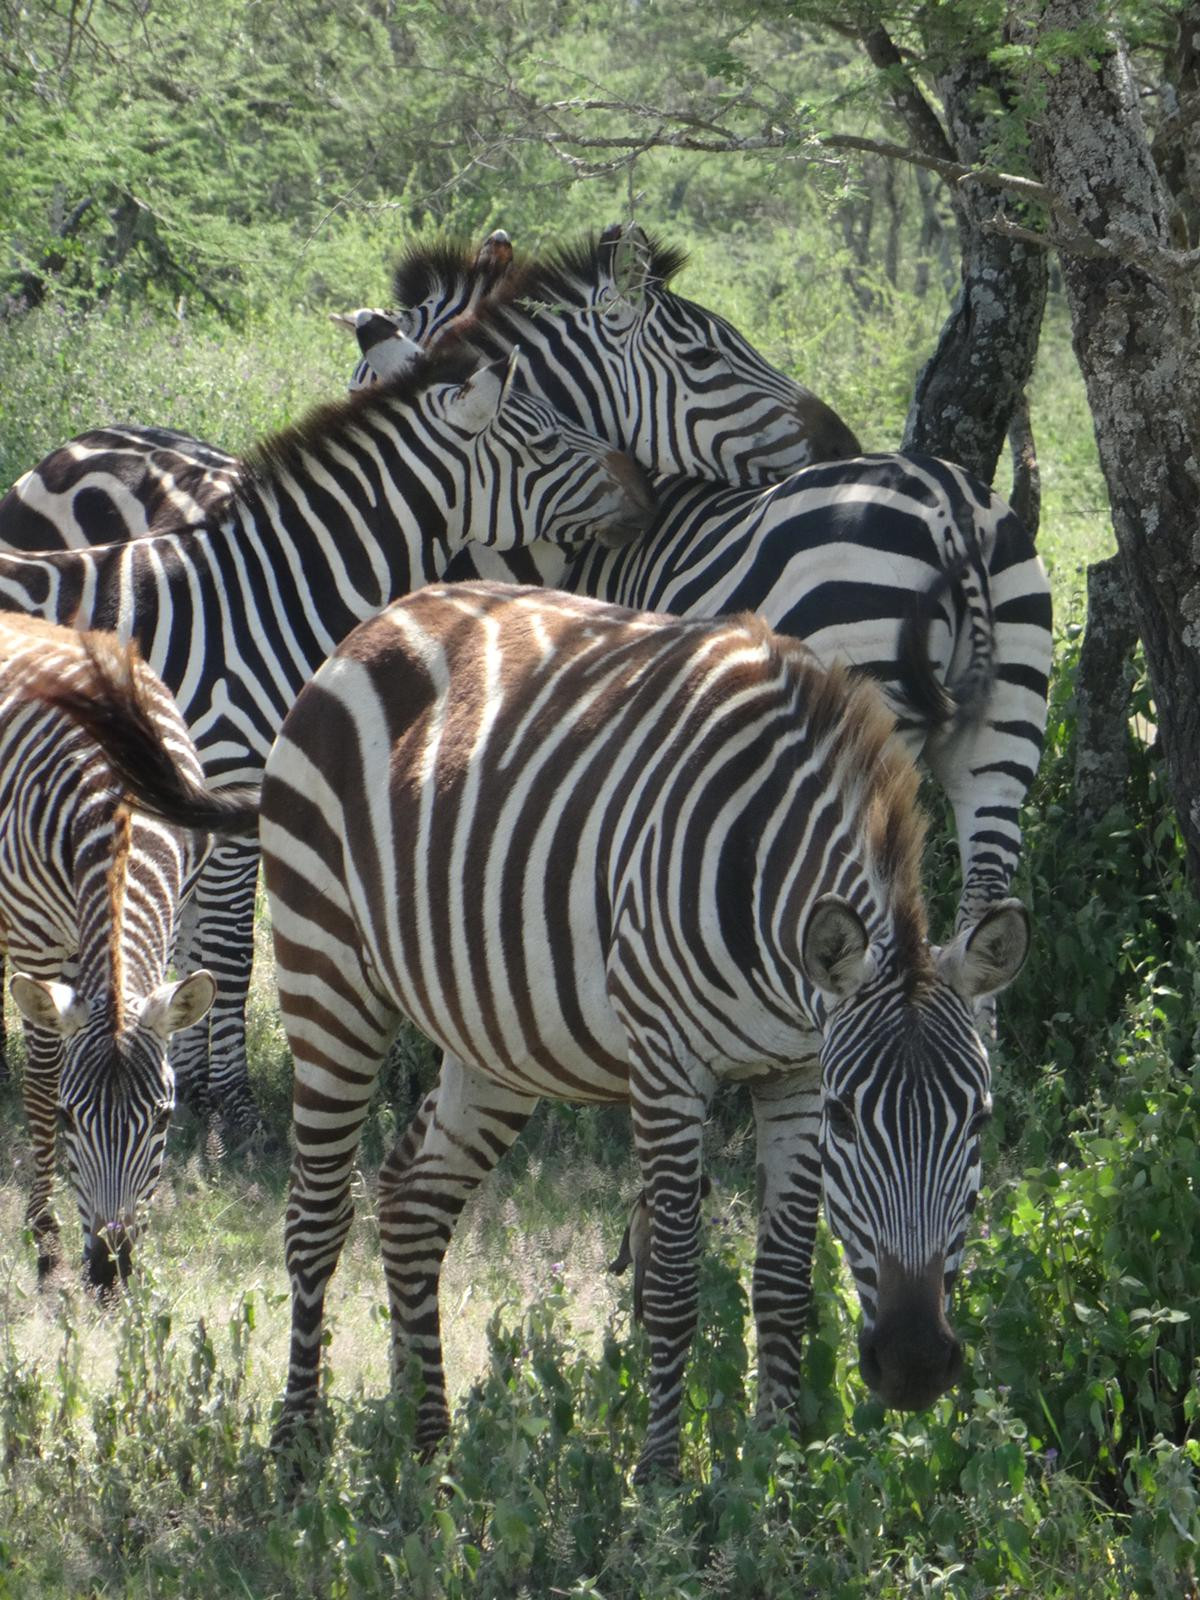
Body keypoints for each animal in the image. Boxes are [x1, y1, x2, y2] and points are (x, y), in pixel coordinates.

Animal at [0, 344, 653, 1129]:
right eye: (547, 442)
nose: (646, 487)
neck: (260, 601)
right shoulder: (230, 784)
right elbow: (228, 951)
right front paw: (233, 1106)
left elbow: (192, 945)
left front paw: (189, 1090)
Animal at [0, 615, 220, 1289]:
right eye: (70, 1120)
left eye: (164, 1119)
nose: (109, 1272)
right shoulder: (36, 939)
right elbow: (41, 1080)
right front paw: (46, 1248)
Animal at [51, 582, 1030, 1481]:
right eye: (854, 1121)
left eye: (979, 1121)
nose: (913, 1364)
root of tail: (378, 621)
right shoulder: (668, 1061)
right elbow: (673, 1280)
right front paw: (665, 1485)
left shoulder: (792, 1068)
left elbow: (785, 1279)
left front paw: (776, 1472)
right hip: (326, 973)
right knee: (317, 1217)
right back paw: (299, 1446)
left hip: (494, 1035)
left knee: (409, 1200)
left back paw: (425, 1443)